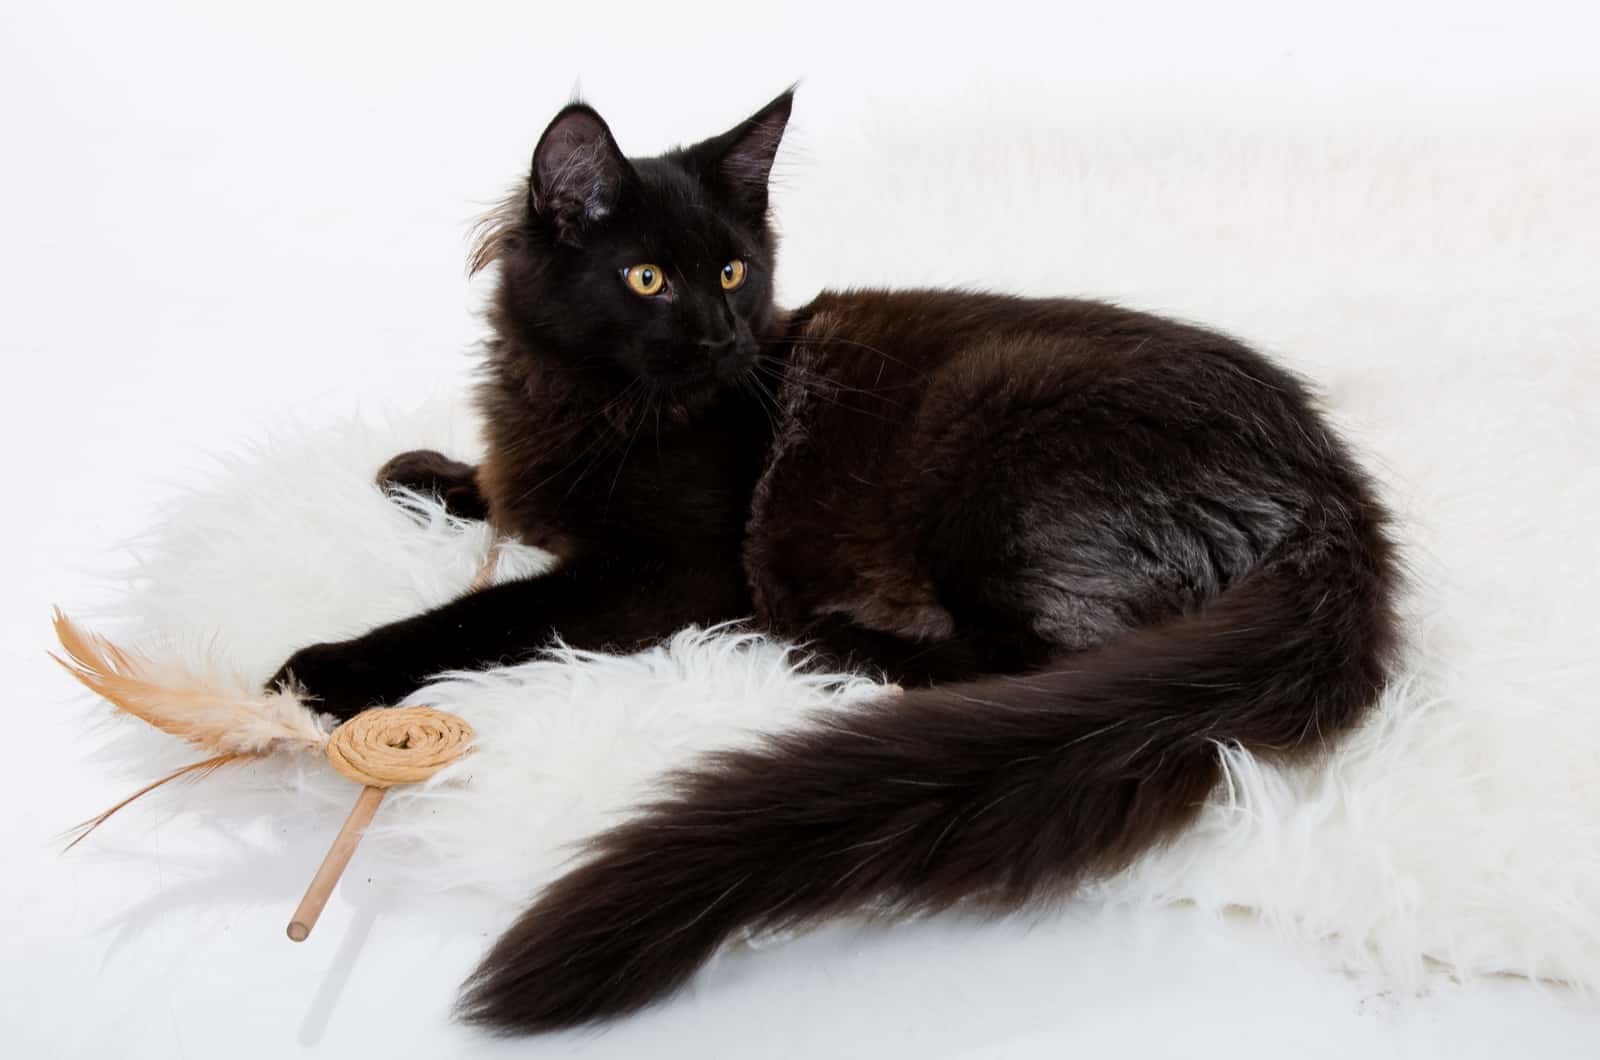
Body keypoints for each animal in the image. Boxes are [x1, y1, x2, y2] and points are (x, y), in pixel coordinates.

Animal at [272, 91, 1401, 1037]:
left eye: (733, 273)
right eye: (648, 278)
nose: (725, 335)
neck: (597, 401)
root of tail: (1331, 491)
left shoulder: (672, 575)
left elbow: (484, 614)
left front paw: (327, 670)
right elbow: (507, 494)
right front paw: (430, 475)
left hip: (994, 439)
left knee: (1026, 660)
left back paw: (822, 641)